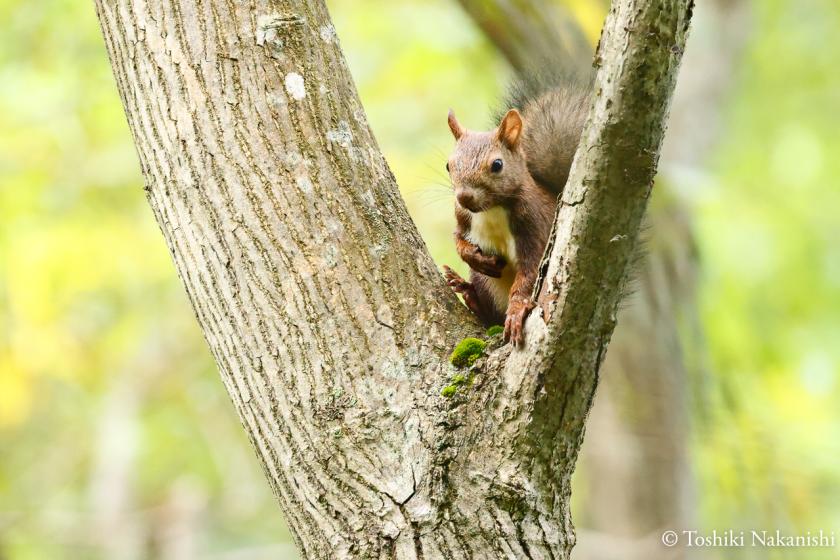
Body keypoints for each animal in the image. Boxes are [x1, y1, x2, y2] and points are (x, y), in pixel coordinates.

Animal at [442, 75, 588, 346]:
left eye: (497, 164)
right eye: (448, 165)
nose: (464, 197)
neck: (491, 210)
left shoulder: (534, 228)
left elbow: (528, 275)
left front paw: (517, 310)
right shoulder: (463, 217)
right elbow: (458, 240)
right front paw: (475, 257)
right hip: (484, 282)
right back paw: (469, 293)